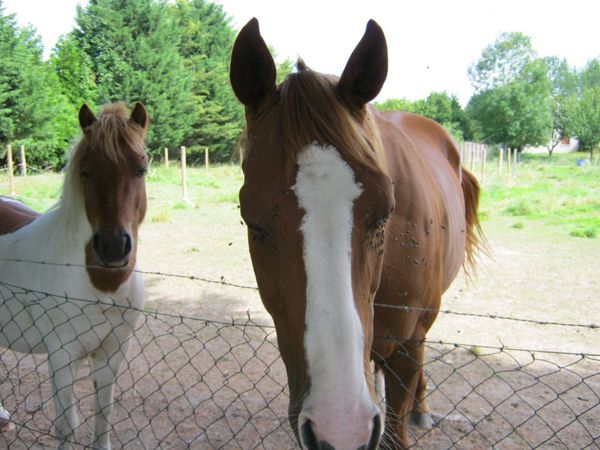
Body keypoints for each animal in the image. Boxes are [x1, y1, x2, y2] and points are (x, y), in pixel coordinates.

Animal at [0, 103, 149, 450]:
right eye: (86, 171)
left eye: (141, 169)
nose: (112, 247)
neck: (103, 287)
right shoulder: (61, 356)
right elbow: (67, 426)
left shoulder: (112, 354)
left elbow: (103, 415)